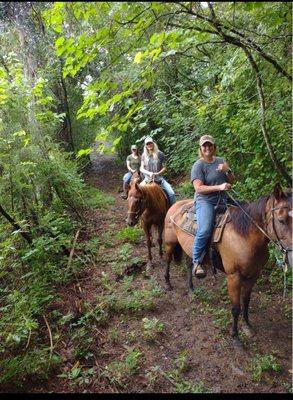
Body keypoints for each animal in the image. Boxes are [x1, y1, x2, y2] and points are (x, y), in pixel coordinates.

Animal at [163, 183, 290, 348]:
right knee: (167, 261)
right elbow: (235, 308)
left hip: (189, 248)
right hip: (170, 243)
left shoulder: (254, 274)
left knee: (189, 265)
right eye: (281, 220)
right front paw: (235, 337)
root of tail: (176, 204)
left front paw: (247, 326)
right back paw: (167, 283)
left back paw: (191, 290)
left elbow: (246, 301)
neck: (244, 236)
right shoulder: (233, 277)